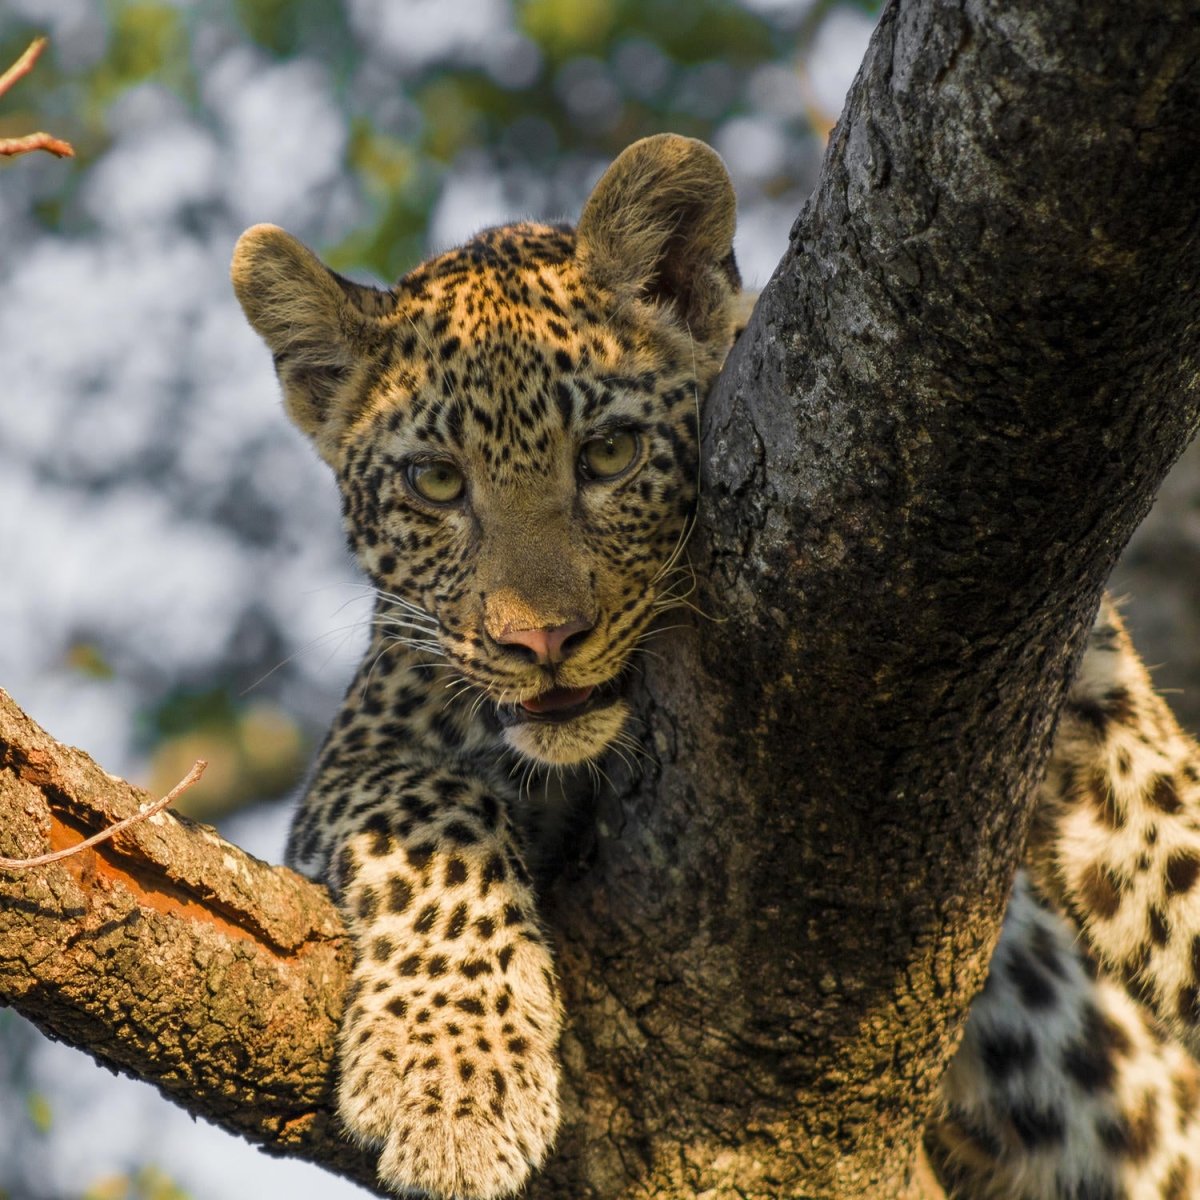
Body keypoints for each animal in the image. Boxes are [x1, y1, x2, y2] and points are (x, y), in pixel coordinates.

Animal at [231, 133, 1200, 1200]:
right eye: (436, 483)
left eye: (610, 454)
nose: (542, 643)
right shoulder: (364, 750)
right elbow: (435, 820)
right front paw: (453, 1087)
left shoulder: (1099, 704)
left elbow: (1181, 846)